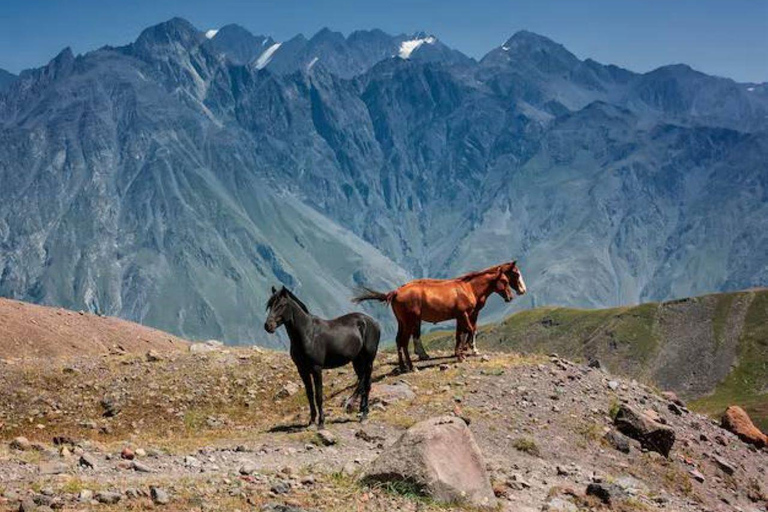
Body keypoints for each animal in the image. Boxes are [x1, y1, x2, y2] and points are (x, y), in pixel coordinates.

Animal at [264, 286, 381, 428]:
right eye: (270, 305)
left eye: (281, 305)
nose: (268, 326)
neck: (308, 333)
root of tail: (373, 322)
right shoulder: (302, 370)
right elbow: (310, 394)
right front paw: (312, 421)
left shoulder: (316, 368)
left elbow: (319, 395)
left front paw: (321, 422)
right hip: (357, 361)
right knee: (363, 382)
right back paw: (361, 410)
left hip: (369, 359)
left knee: (367, 383)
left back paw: (364, 414)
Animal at [353, 261, 526, 372]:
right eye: (508, 278)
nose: (513, 296)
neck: (468, 288)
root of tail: (396, 292)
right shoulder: (466, 315)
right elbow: (471, 330)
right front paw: (467, 351)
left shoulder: (460, 317)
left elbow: (460, 334)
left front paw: (460, 354)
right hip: (410, 322)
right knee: (404, 341)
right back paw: (411, 366)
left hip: (402, 322)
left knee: (399, 340)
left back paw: (403, 366)